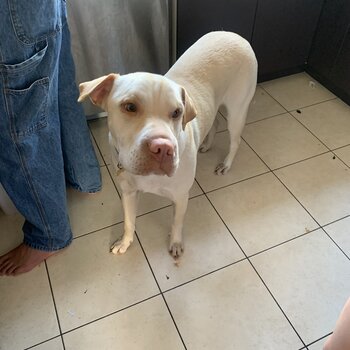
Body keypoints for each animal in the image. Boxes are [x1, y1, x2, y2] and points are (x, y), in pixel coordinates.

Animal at [78, 30, 258, 258]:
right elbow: (128, 221)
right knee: (214, 122)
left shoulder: (181, 196)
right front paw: (125, 242)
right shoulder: (128, 192)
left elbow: (177, 223)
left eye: (177, 112)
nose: (163, 148)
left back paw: (226, 164)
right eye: (130, 107)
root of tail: (235, 35)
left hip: (237, 111)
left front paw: (176, 243)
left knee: (235, 140)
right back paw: (206, 145)